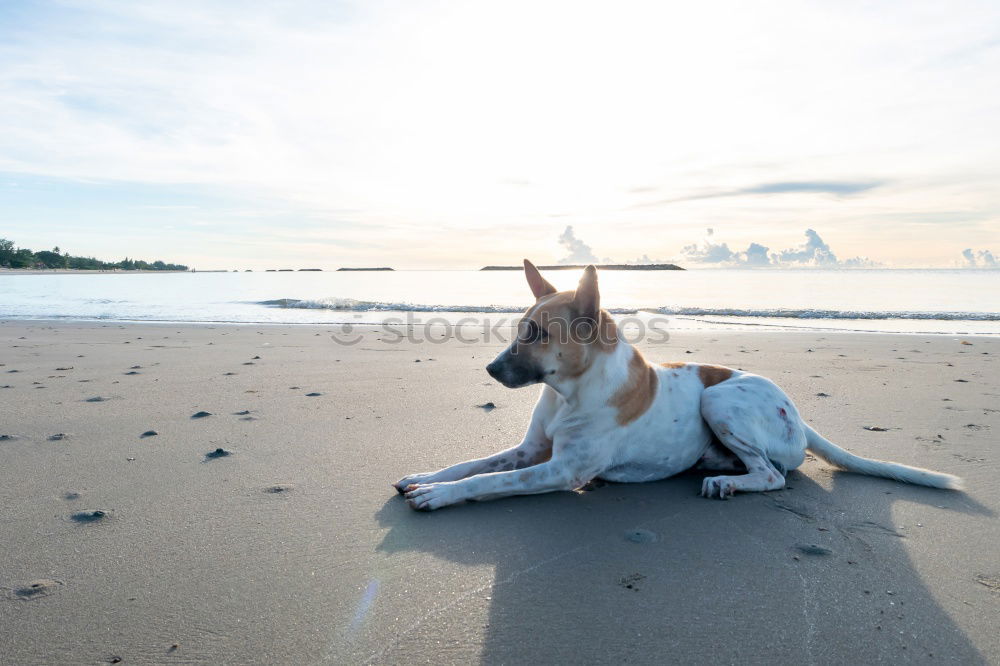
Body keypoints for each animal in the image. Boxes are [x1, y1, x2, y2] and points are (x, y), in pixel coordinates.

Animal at [394, 260, 964, 508]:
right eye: (519, 328)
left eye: (537, 334)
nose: (490, 371)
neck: (569, 392)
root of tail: (800, 415)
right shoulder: (529, 450)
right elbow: (473, 463)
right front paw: (425, 475)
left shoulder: (560, 469)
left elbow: (488, 481)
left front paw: (439, 495)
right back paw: (719, 468)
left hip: (719, 398)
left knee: (773, 475)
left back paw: (730, 482)